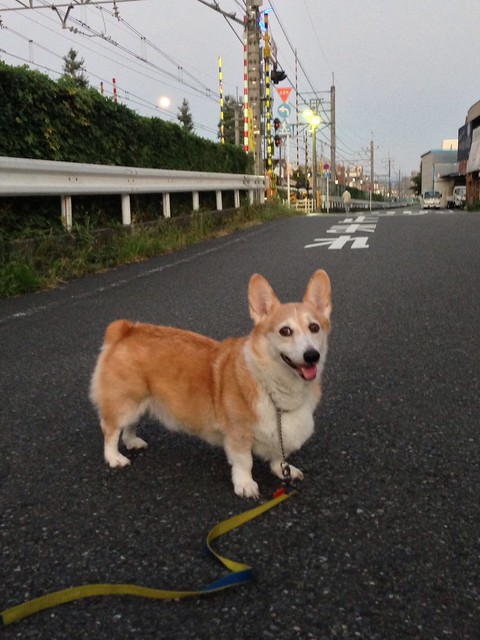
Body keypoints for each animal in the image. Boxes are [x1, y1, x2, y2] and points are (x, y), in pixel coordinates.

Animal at [89, 268, 330, 498]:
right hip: (125, 401)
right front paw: (245, 486)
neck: (275, 385)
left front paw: (284, 470)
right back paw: (115, 458)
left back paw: (133, 442)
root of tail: (125, 330)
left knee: (129, 426)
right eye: (285, 331)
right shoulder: (237, 435)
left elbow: (279, 454)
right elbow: (244, 463)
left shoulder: (280, 431)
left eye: (315, 328)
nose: (312, 356)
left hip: (140, 401)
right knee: (111, 429)